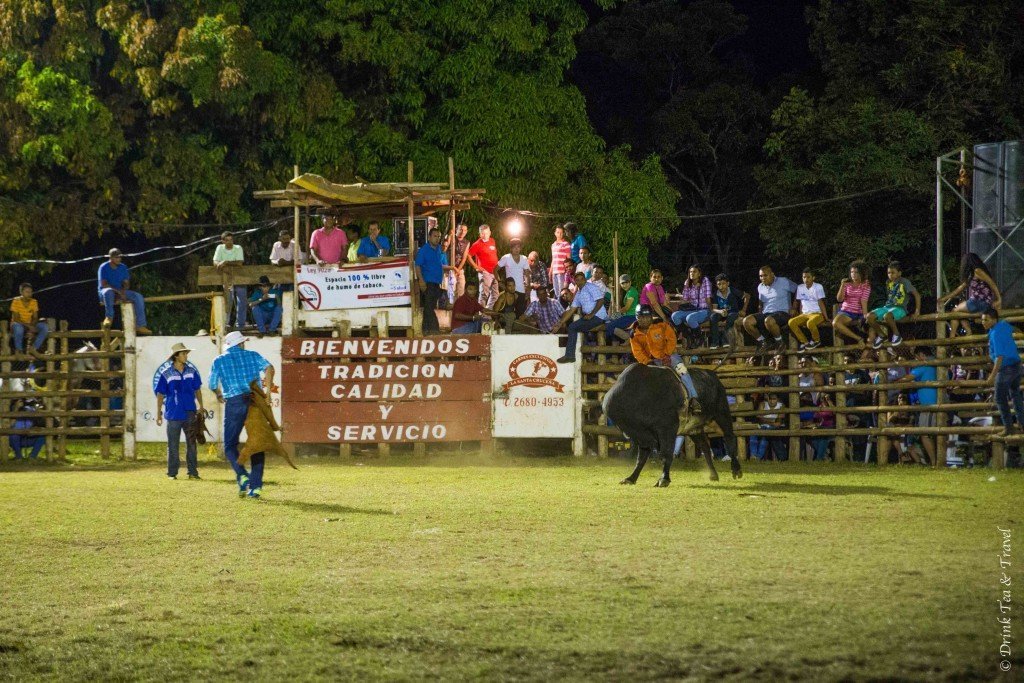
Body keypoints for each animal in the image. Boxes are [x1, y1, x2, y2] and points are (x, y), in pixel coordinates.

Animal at [602, 362, 741, 485]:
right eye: (623, 426)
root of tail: (712, 375)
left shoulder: (666, 430)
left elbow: (666, 453)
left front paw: (664, 479)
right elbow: (641, 458)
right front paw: (631, 478)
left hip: (722, 414)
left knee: (729, 437)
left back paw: (736, 469)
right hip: (693, 429)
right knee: (705, 447)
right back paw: (713, 474)